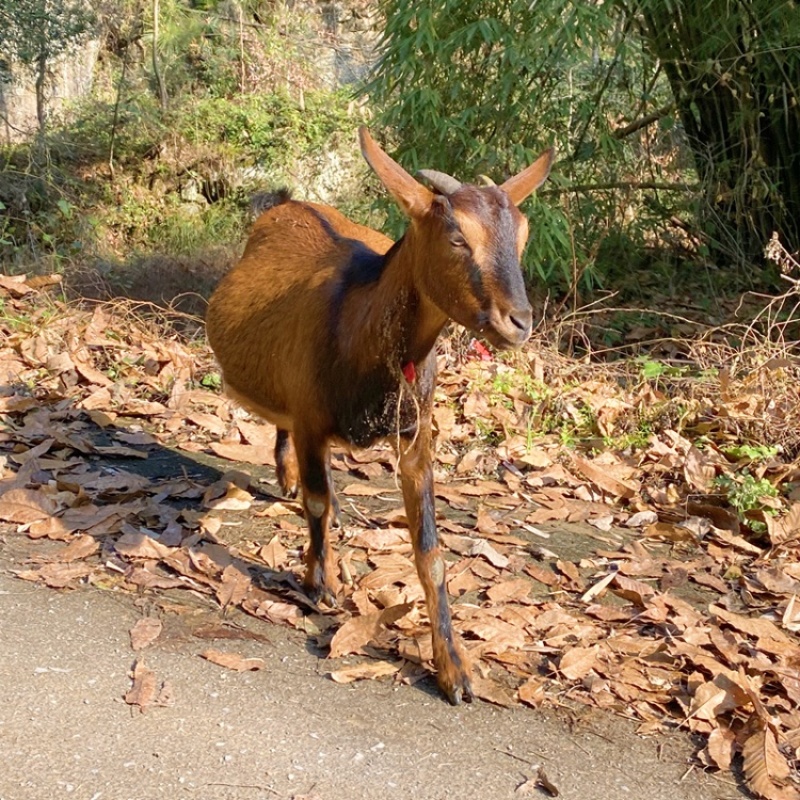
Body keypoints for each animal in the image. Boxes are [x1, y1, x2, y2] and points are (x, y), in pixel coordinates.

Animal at [206, 128, 552, 704]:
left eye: (523, 234)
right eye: (457, 237)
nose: (518, 322)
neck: (360, 331)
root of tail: (287, 202)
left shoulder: (415, 437)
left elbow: (430, 551)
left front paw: (454, 670)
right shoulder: (311, 421)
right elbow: (318, 503)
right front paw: (319, 582)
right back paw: (289, 480)